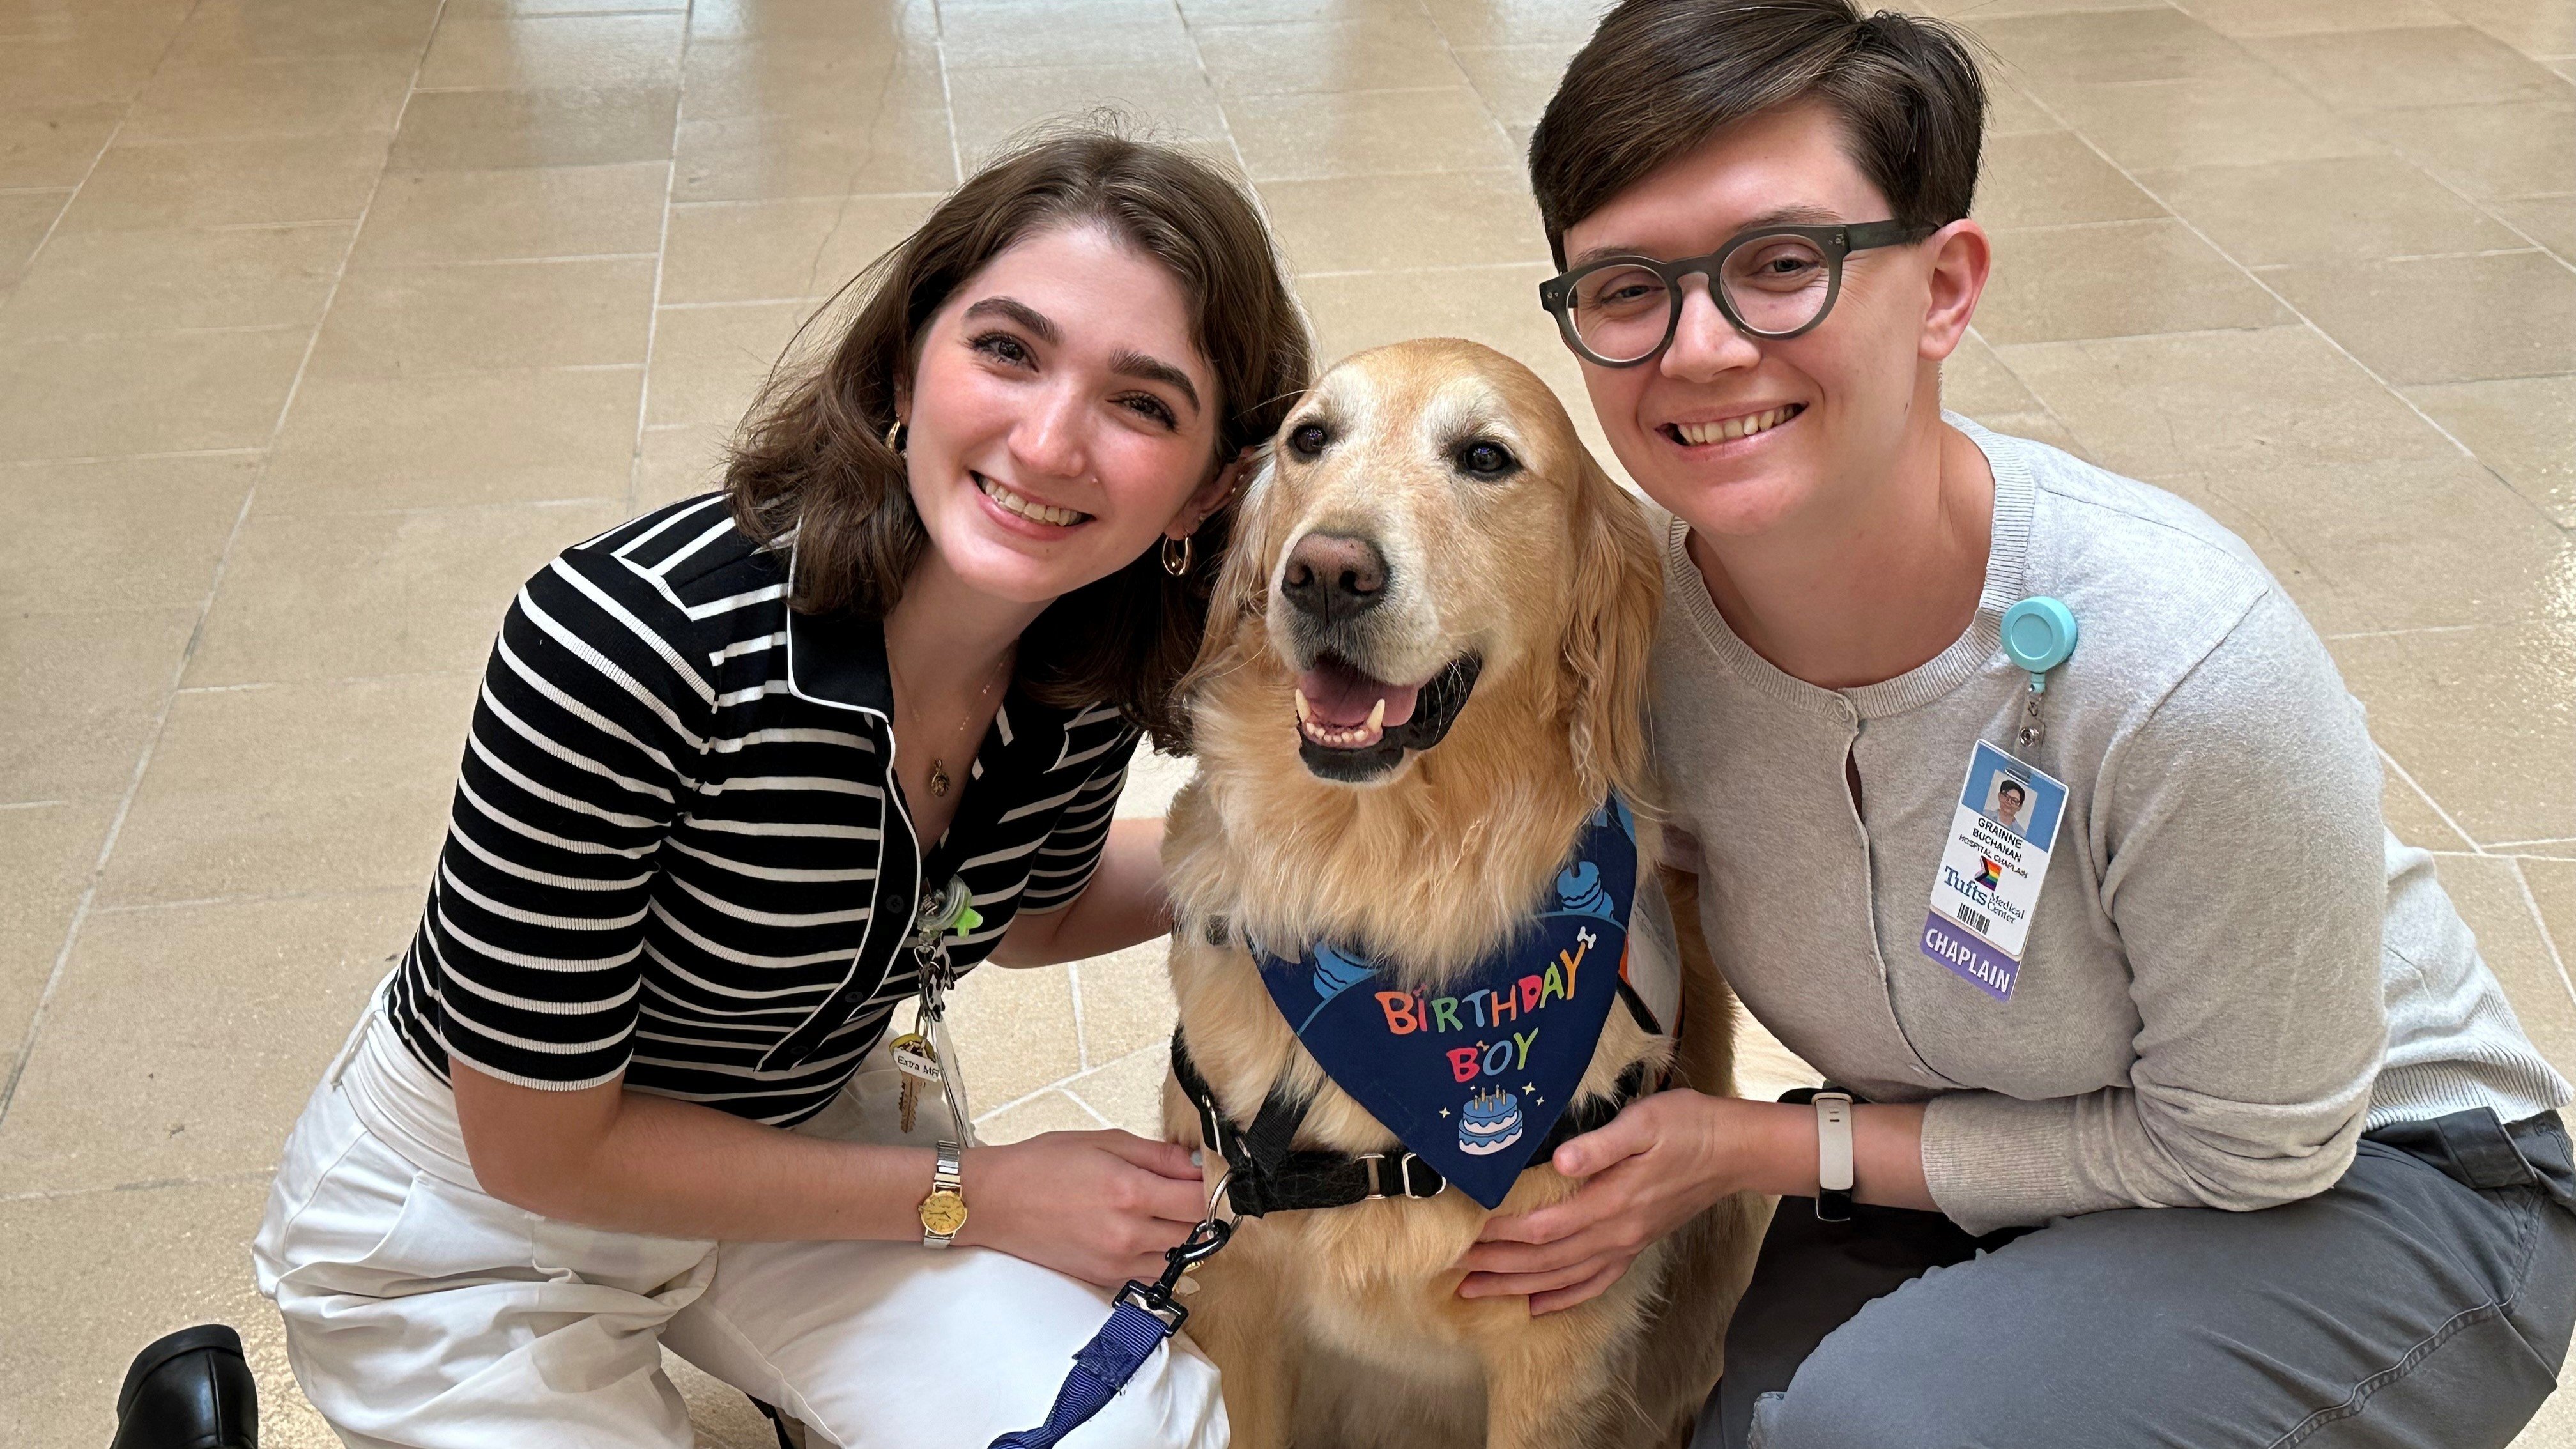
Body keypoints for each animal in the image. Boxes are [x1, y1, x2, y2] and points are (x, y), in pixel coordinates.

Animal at [1164, 340, 1772, 1443]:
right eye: (1309, 439)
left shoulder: (1556, 1345)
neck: (1390, 887)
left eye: (1486, 458)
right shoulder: (1233, 1295)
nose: (1325, 573)